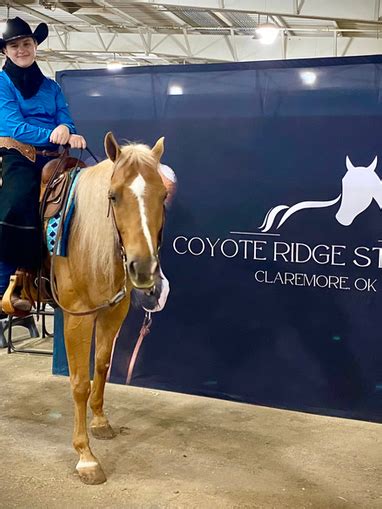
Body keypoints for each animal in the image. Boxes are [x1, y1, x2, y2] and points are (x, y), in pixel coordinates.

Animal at [53, 132, 166, 484]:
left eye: (163, 195)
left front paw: (101, 422)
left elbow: (102, 364)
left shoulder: (113, 311)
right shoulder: (77, 316)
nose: (143, 269)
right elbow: (79, 383)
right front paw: (86, 457)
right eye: (113, 196)